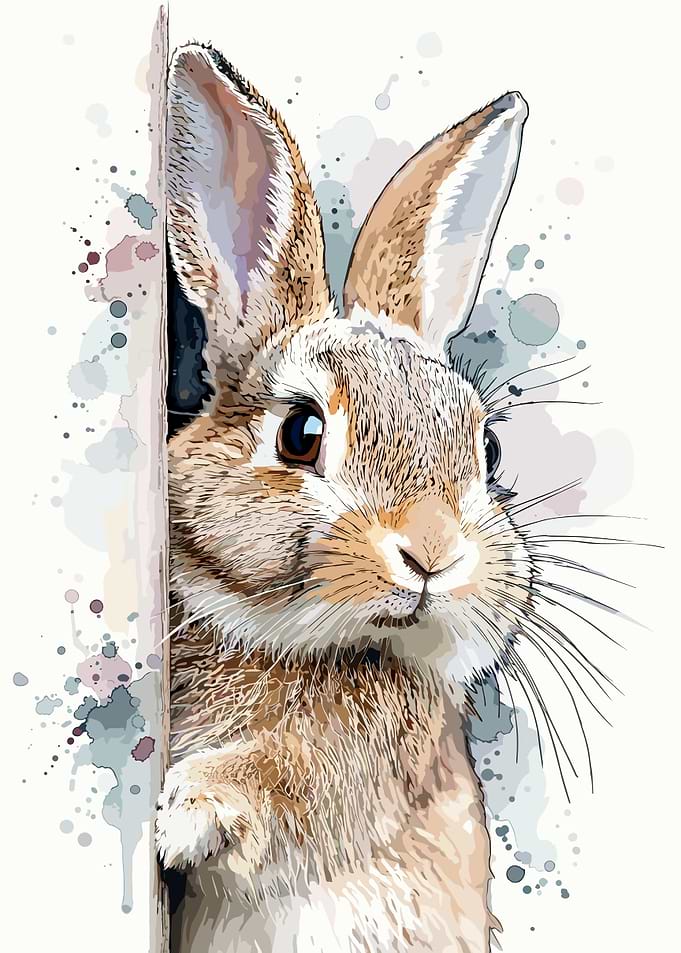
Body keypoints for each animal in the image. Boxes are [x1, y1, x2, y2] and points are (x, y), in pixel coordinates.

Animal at [156, 41, 529, 953]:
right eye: (300, 433)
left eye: (486, 448)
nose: (433, 552)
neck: (288, 640)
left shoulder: (364, 760)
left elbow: (281, 777)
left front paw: (187, 811)